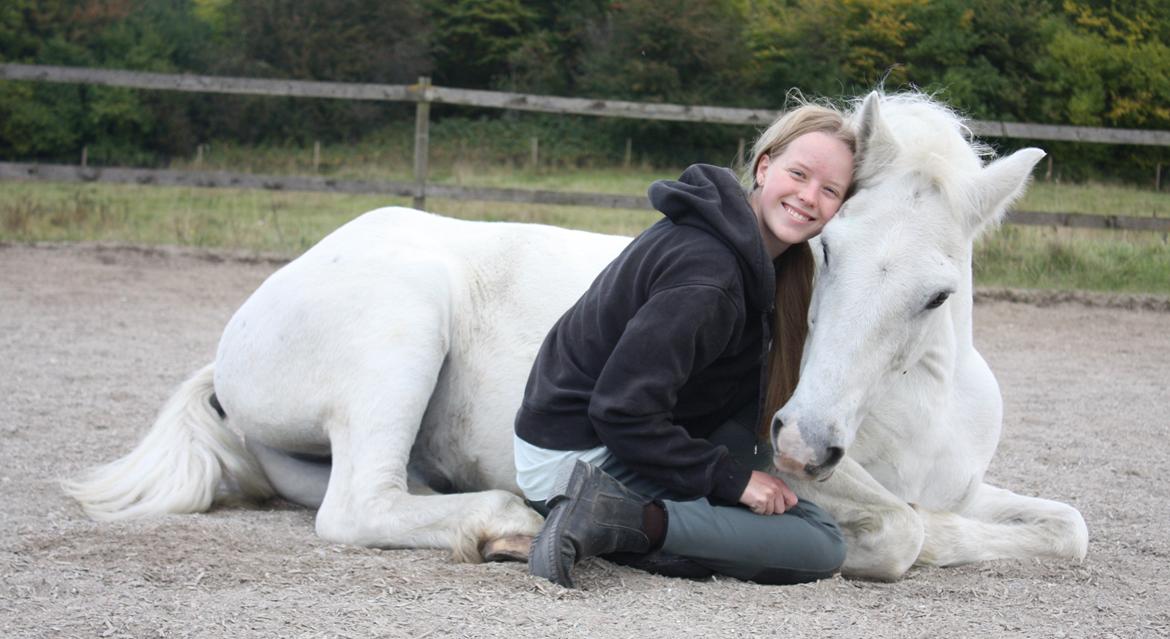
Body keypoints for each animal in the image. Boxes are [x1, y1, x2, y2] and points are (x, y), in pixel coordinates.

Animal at [63, 91, 1088, 579]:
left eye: (937, 294)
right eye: (828, 247)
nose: (804, 438)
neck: (913, 408)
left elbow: (1066, 529)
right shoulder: (794, 484)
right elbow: (907, 531)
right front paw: (935, 538)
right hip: (403, 327)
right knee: (357, 507)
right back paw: (510, 523)